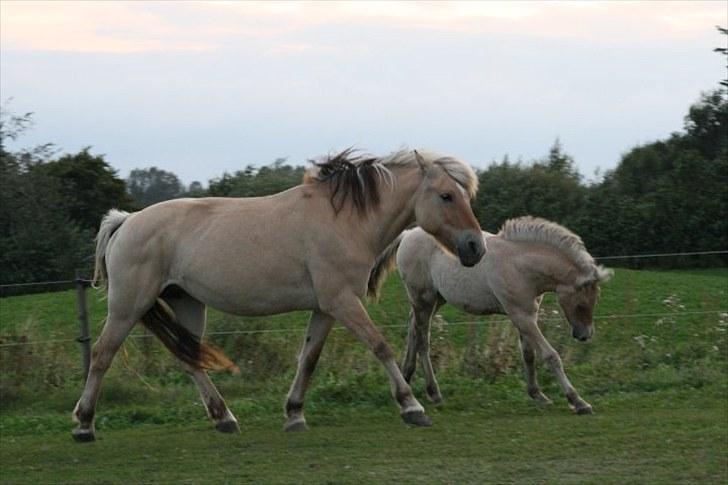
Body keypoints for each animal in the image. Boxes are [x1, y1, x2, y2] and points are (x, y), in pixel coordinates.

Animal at [72, 147, 484, 438]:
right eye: (447, 196)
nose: (475, 247)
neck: (345, 220)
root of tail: (125, 221)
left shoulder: (327, 308)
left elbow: (309, 359)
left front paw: (294, 413)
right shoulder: (342, 302)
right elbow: (381, 346)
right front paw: (412, 407)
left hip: (188, 304)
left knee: (189, 360)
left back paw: (224, 418)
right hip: (128, 306)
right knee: (102, 355)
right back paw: (84, 424)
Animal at [366, 217, 612, 414]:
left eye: (596, 300)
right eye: (581, 304)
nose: (584, 335)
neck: (521, 266)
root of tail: (408, 234)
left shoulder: (526, 315)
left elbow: (528, 354)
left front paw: (537, 394)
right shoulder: (521, 315)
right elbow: (551, 356)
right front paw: (578, 401)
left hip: (435, 299)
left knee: (413, 329)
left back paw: (407, 377)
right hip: (423, 298)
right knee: (423, 339)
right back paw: (433, 392)